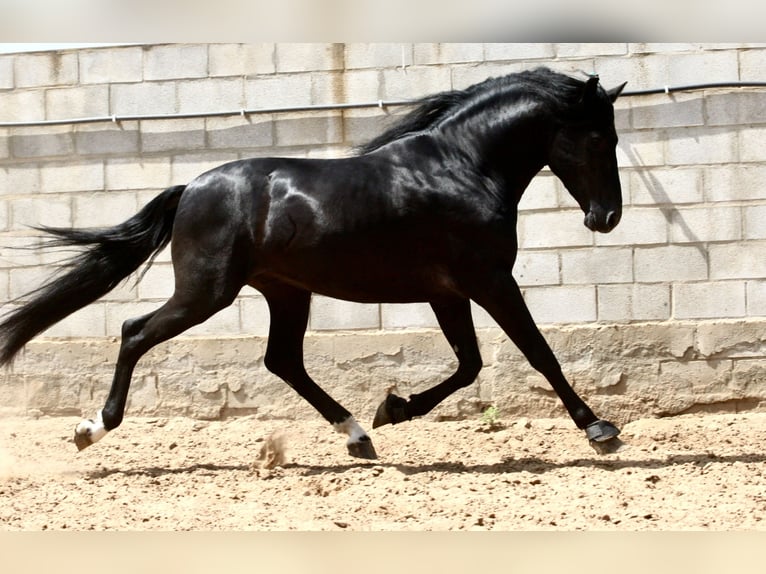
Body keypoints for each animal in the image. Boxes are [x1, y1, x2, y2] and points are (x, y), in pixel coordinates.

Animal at [0, 67, 632, 462]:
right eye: (600, 139)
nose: (607, 218)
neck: (461, 167)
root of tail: (192, 188)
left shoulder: (449, 291)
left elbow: (470, 364)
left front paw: (393, 409)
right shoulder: (489, 281)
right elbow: (538, 353)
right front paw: (600, 429)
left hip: (285, 291)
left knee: (283, 360)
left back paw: (357, 434)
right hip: (208, 292)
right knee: (135, 332)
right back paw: (91, 428)